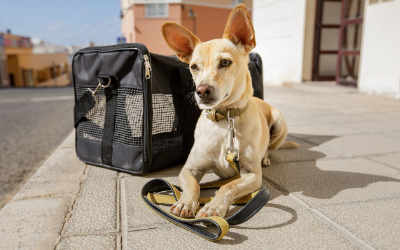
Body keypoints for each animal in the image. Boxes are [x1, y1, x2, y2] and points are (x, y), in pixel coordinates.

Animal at [160, 3, 296, 219]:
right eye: (194, 67)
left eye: (225, 62)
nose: (201, 91)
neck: (225, 119)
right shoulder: (189, 169)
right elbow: (192, 186)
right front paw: (185, 202)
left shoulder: (252, 175)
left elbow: (228, 187)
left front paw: (214, 206)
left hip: (279, 123)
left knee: (270, 147)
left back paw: (265, 156)